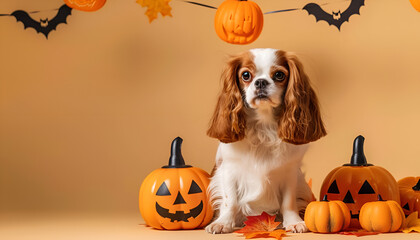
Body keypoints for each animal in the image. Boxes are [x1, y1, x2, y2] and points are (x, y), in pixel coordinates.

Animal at [205, 47, 326, 233]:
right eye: (246, 75)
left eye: (279, 75)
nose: (261, 82)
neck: (263, 125)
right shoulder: (229, 170)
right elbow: (230, 200)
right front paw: (223, 223)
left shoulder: (290, 173)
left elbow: (288, 202)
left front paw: (293, 222)